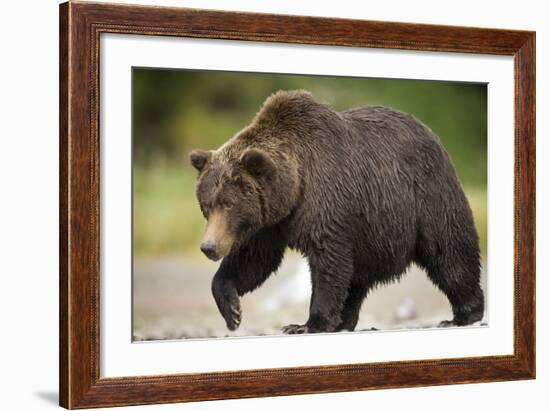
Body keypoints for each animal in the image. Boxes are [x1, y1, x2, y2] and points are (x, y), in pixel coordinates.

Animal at [192, 90, 486, 334]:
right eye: (206, 205)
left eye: (228, 203)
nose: (209, 247)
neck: (294, 188)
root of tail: (431, 133)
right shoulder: (270, 220)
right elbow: (254, 259)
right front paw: (232, 311)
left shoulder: (325, 200)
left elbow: (328, 260)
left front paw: (307, 324)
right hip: (370, 231)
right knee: (356, 278)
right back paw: (345, 320)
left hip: (425, 197)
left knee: (448, 251)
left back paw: (463, 314)